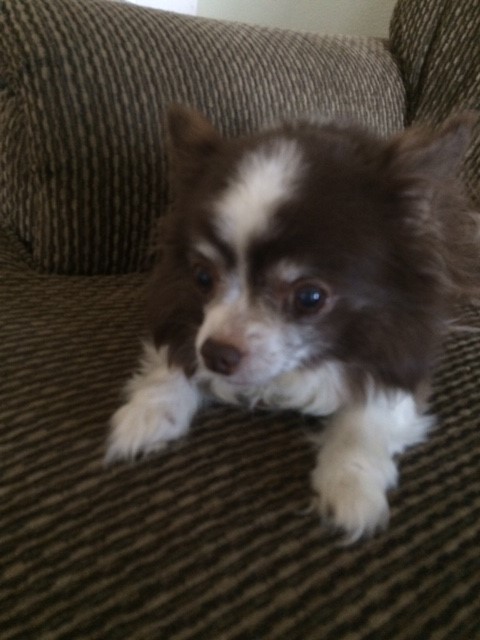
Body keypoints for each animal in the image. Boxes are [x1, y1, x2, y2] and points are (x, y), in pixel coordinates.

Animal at [106, 105, 478, 542]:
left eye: (309, 298)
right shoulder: (180, 311)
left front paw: (351, 486)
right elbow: (174, 358)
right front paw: (145, 414)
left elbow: (370, 413)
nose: (217, 354)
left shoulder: (403, 347)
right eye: (201, 277)